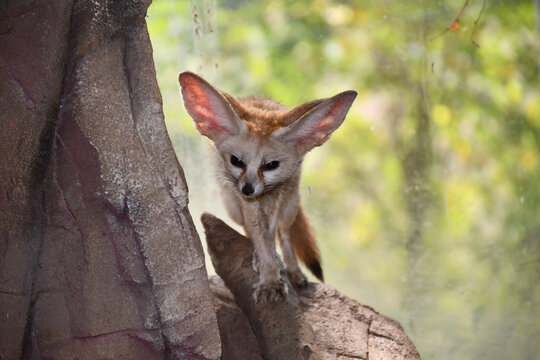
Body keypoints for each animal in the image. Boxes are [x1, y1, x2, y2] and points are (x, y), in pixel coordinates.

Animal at [179, 71, 356, 302]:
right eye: (236, 161)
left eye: (271, 165)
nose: (247, 189)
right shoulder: (247, 203)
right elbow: (259, 234)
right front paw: (269, 277)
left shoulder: (281, 195)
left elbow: (273, 233)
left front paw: (276, 270)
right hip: (231, 204)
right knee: (249, 228)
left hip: (291, 204)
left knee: (285, 232)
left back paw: (293, 270)